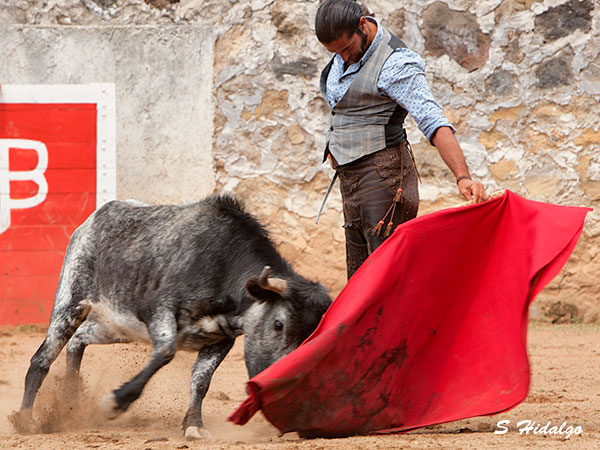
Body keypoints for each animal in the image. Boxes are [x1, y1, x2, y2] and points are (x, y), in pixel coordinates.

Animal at [9, 195, 330, 438]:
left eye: (310, 334)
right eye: (278, 323)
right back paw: (26, 419)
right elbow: (165, 352)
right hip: (71, 301)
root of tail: (90, 221)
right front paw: (114, 403)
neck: (224, 267)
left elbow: (201, 381)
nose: (281, 382)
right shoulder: (160, 312)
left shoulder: (220, 338)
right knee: (42, 358)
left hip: (116, 325)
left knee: (78, 341)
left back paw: (72, 400)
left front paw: (194, 426)